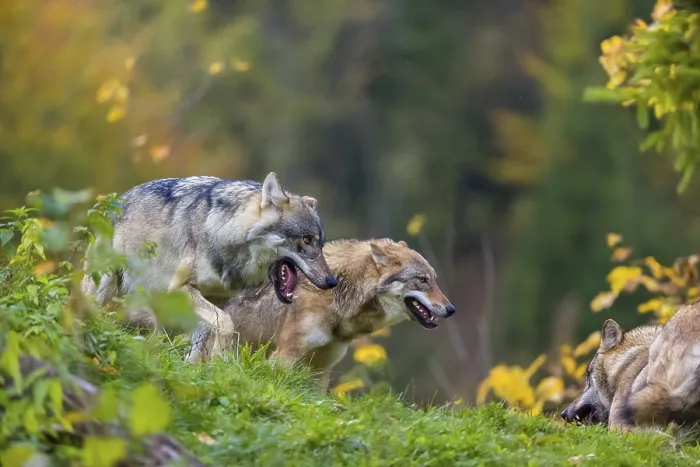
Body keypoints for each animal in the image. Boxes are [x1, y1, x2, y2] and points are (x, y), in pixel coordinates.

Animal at [80, 172, 337, 359]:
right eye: (307, 240)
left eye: (321, 243)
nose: (331, 282)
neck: (222, 230)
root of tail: (116, 201)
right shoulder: (181, 288)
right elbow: (226, 323)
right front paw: (220, 360)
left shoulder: (217, 299)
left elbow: (216, 329)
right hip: (106, 285)